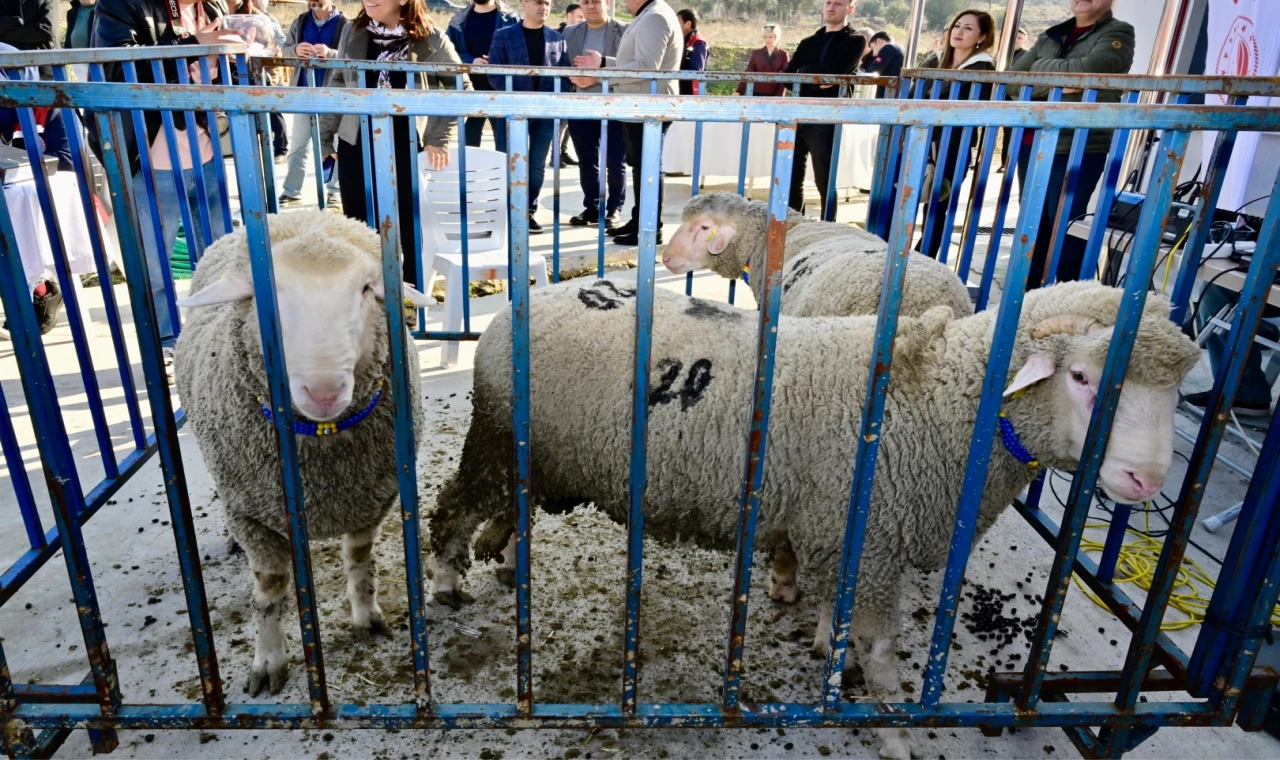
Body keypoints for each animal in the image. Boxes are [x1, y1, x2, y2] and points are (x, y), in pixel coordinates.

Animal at [175, 207, 435, 690]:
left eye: (366, 289)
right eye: (268, 295)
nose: (323, 391)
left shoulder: (371, 500)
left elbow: (359, 560)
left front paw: (367, 616)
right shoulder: (253, 518)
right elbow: (270, 590)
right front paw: (268, 660)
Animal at [430, 277, 1198, 757]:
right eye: (1083, 377)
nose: (1147, 479)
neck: (944, 403)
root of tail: (529, 296)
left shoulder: (843, 533)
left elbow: (840, 614)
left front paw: (830, 644)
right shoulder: (872, 538)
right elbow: (883, 655)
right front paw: (894, 734)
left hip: (539, 455)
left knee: (513, 509)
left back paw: (508, 563)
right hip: (496, 436)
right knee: (452, 510)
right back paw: (444, 583)